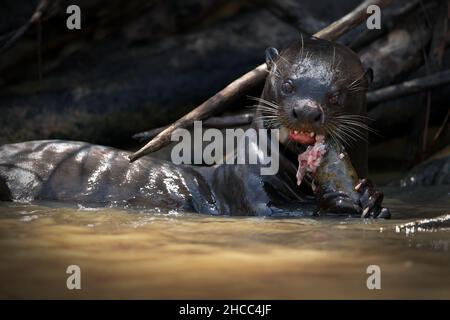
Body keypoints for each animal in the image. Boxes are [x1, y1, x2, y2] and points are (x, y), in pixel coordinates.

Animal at [0, 36, 386, 219]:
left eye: (336, 95)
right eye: (288, 84)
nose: (306, 110)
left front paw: (372, 197)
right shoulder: (245, 182)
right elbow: (272, 210)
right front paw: (340, 200)